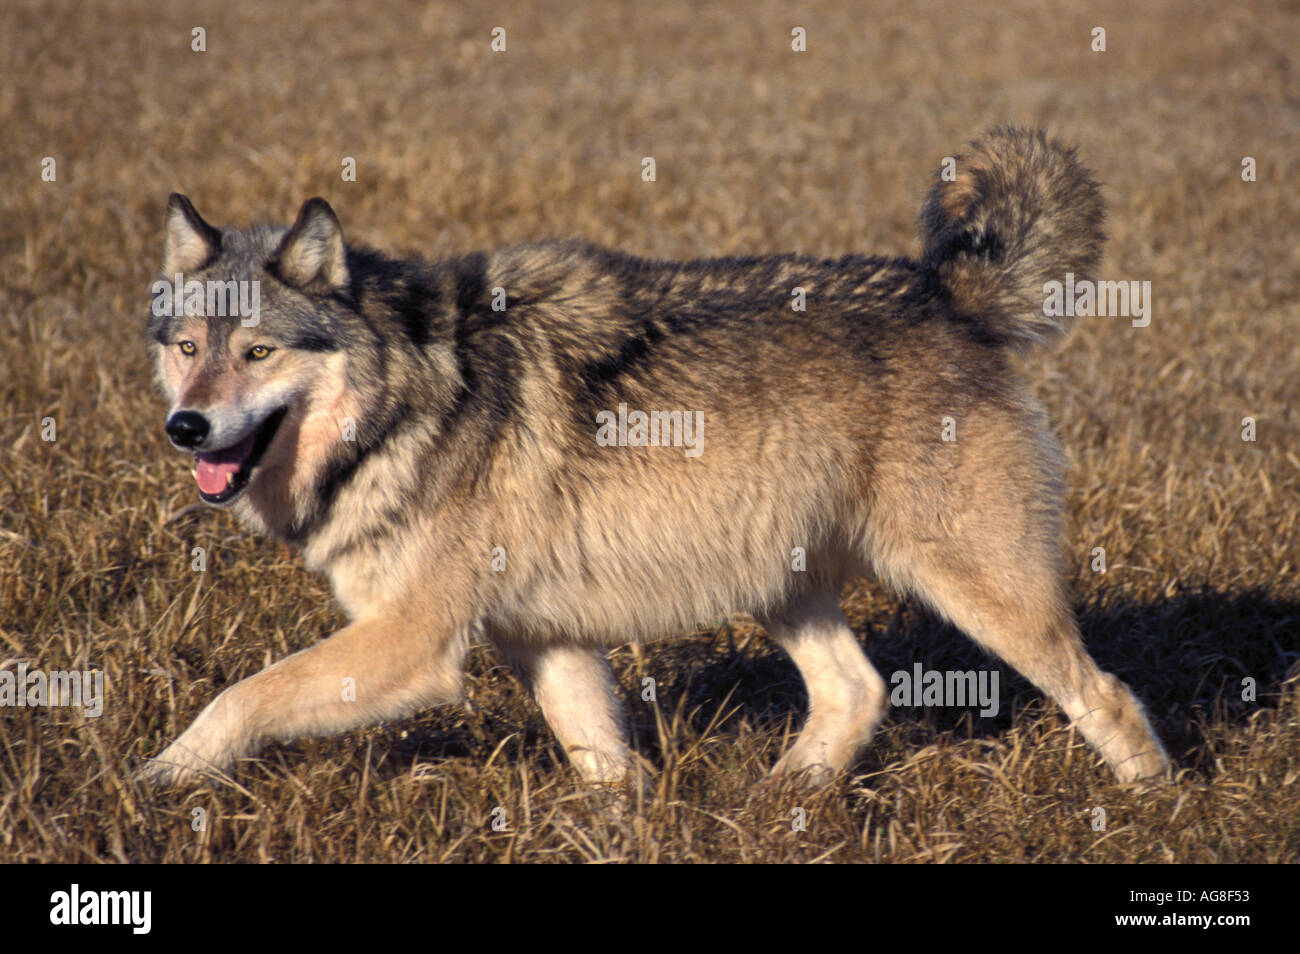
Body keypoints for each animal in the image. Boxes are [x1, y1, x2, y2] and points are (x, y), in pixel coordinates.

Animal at [142, 123, 1170, 790]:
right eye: (188, 348)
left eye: (257, 353)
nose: (186, 428)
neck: (404, 404)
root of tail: (946, 293)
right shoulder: (545, 640)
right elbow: (605, 765)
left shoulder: (414, 644)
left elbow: (239, 700)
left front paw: (153, 782)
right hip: (778, 584)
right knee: (859, 690)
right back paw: (781, 802)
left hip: (979, 595)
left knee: (1109, 693)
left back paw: (1154, 811)